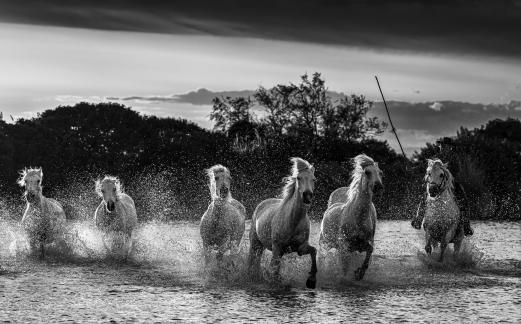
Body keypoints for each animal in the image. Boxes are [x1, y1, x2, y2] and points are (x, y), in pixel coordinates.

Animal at [248, 157, 316, 288]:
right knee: (254, 260)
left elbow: (314, 251)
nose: (307, 196)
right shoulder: (277, 247)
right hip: (256, 243)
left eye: (314, 179)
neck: (293, 221)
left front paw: (311, 281)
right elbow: (273, 269)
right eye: (298, 178)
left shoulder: (301, 247)